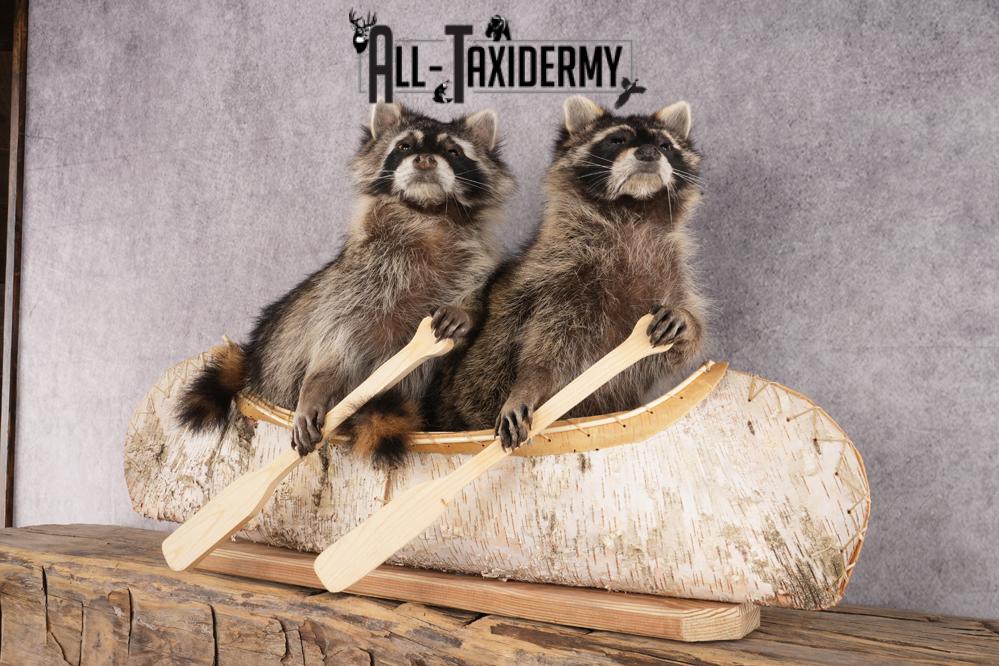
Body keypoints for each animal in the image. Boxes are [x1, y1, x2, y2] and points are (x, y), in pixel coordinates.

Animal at [178, 101, 513, 466]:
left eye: (453, 151)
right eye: (404, 146)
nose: (425, 160)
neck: (426, 214)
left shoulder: (474, 267)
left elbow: (478, 300)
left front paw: (464, 313)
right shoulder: (355, 282)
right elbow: (332, 341)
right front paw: (315, 388)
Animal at [432, 96, 706, 449]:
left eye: (665, 144)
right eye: (617, 139)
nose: (648, 152)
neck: (633, 209)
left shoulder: (669, 269)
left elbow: (670, 354)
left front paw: (687, 322)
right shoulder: (561, 275)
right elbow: (547, 349)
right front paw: (529, 384)